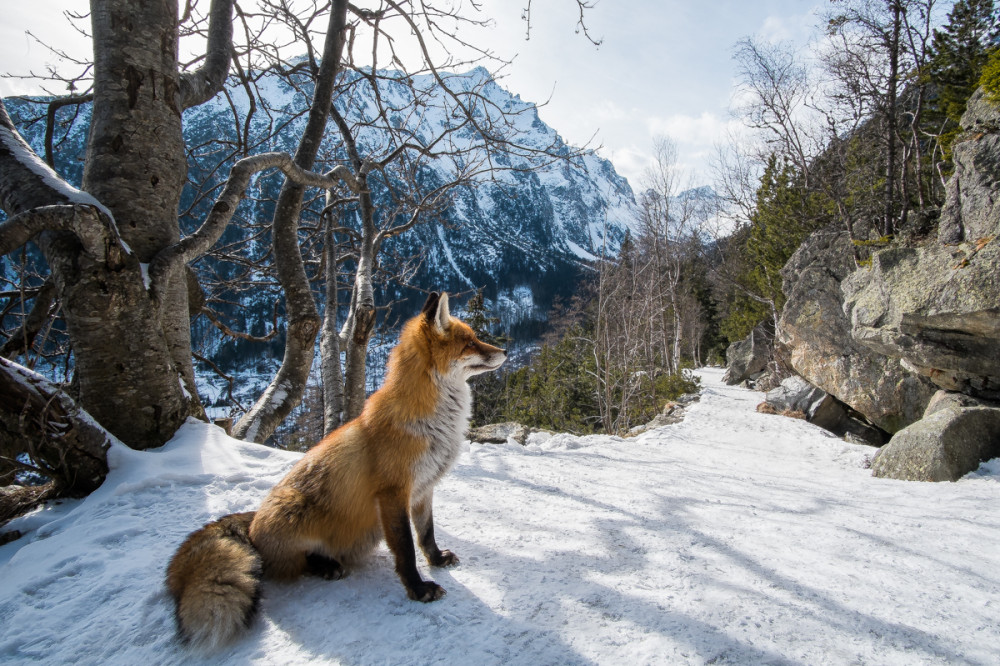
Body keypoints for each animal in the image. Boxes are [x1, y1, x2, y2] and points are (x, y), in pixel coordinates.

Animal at [168, 290, 508, 644]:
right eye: (469, 343)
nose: (505, 351)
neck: (432, 425)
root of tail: (252, 523)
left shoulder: (423, 488)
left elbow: (426, 534)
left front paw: (437, 559)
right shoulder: (393, 493)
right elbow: (405, 549)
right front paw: (417, 589)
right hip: (297, 511)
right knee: (288, 564)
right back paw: (325, 566)